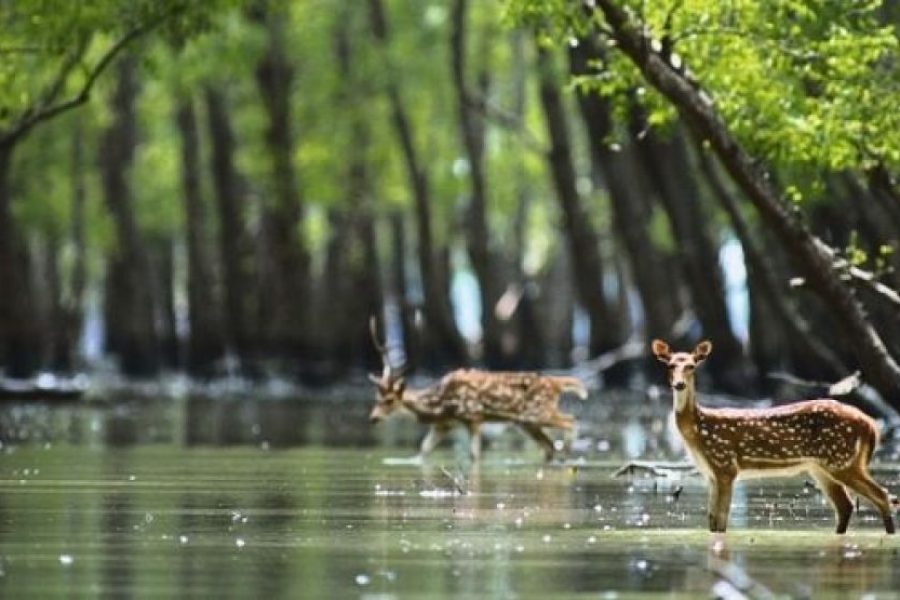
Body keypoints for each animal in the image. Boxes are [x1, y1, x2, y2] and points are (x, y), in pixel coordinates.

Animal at [368, 322, 592, 462]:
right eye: (376, 398)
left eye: (389, 400)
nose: (373, 418)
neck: (440, 404)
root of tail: (556, 382)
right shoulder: (444, 425)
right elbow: (423, 451)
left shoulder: (472, 416)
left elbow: (474, 455)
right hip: (526, 422)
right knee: (549, 446)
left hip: (537, 412)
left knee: (570, 420)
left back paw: (569, 451)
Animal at [652, 338, 892, 536]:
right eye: (670, 365)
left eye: (691, 366)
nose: (679, 384)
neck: (698, 431)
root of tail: (869, 424)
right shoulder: (711, 473)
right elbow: (712, 522)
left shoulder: (725, 465)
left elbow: (721, 522)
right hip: (822, 466)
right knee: (846, 506)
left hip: (841, 459)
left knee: (882, 496)